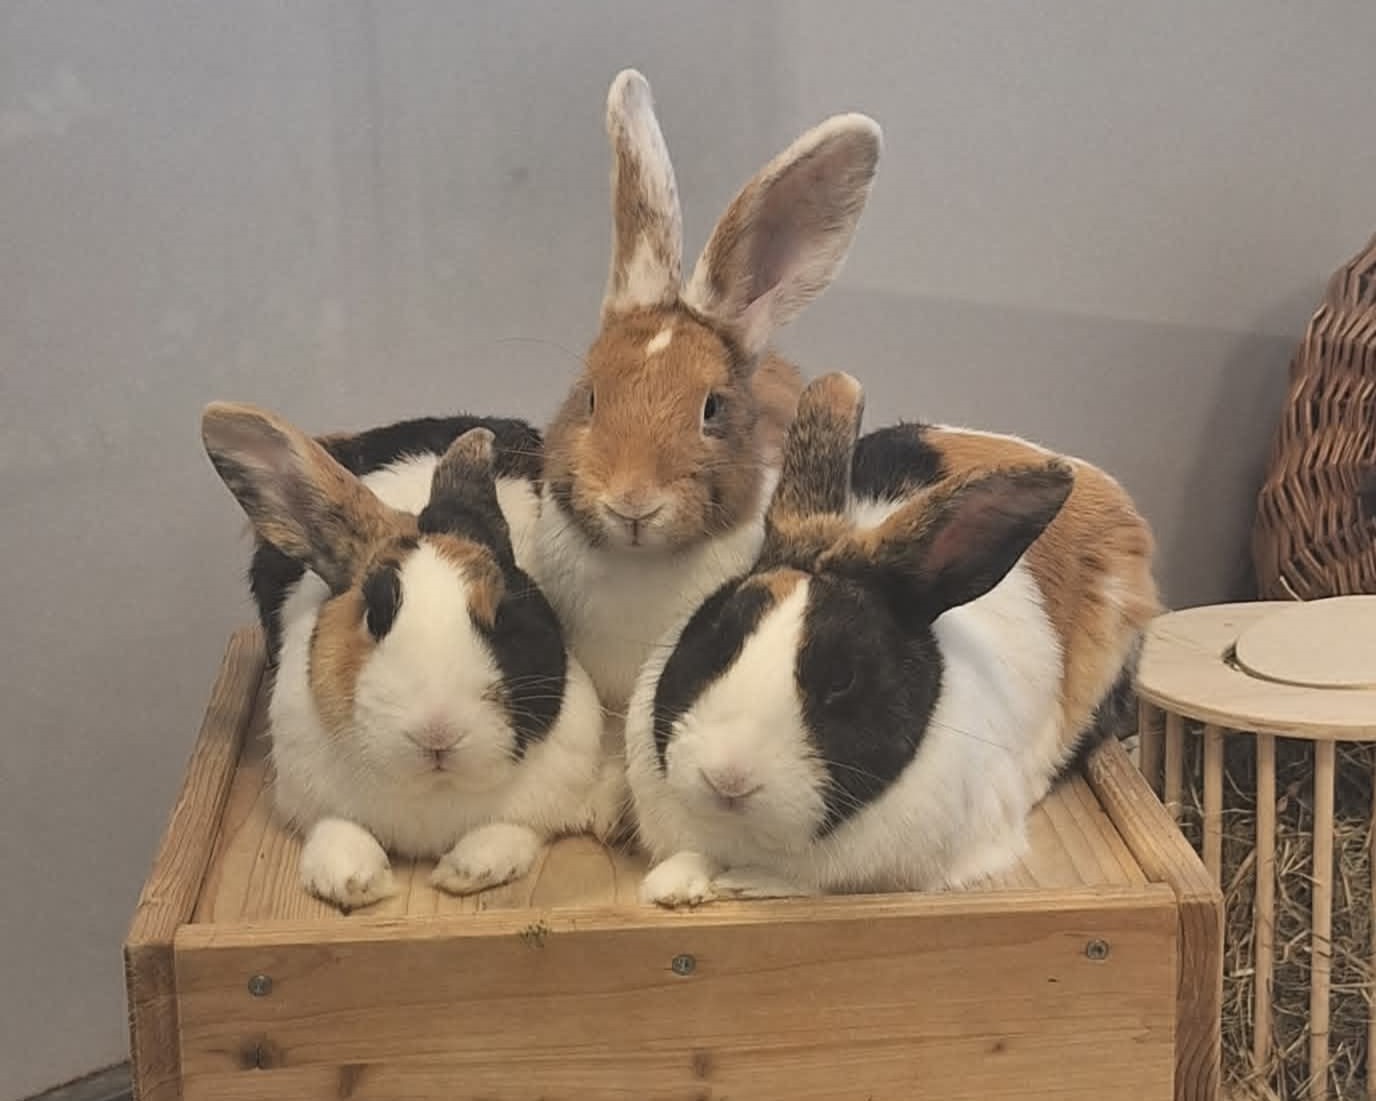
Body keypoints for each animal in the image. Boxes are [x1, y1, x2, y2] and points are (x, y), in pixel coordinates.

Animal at [201, 402, 607, 911]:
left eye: (503, 614)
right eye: (374, 615)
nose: (438, 733)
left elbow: (510, 831)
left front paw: (467, 870)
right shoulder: (307, 789)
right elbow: (336, 828)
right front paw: (350, 881)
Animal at [530, 69, 883, 833]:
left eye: (712, 409)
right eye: (589, 396)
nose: (632, 502)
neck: (638, 566)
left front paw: (614, 813)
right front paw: (596, 807)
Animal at [623, 372, 1161, 906]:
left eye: (842, 678)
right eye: (715, 633)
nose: (727, 780)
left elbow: (809, 882)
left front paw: (747, 883)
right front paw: (673, 885)